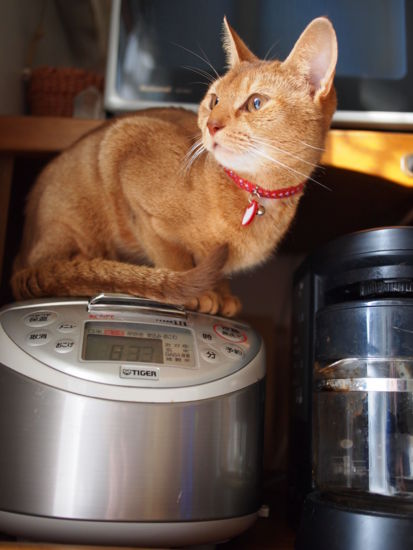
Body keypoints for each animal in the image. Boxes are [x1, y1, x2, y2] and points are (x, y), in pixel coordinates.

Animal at [11, 16, 337, 317]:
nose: (211, 125)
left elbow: (215, 269)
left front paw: (223, 295)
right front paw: (196, 292)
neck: (256, 193)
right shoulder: (125, 142)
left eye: (256, 103)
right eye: (214, 100)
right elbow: (172, 255)